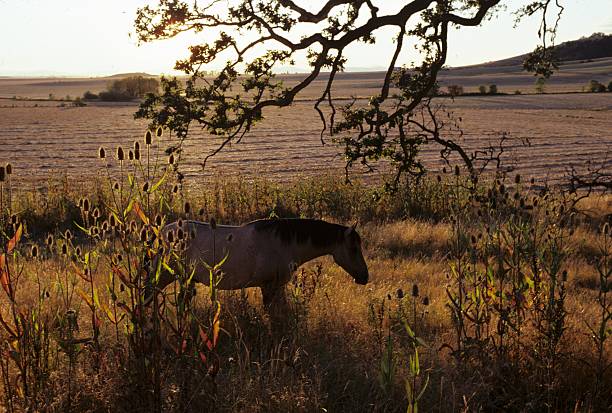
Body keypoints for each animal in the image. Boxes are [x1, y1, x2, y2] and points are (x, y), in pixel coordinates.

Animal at [148, 217, 368, 314]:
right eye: (354, 248)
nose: (365, 277)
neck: (284, 243)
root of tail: (162, 232)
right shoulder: (268, 286)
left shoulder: (276, 286)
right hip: (165, 275)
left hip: (186, 278)